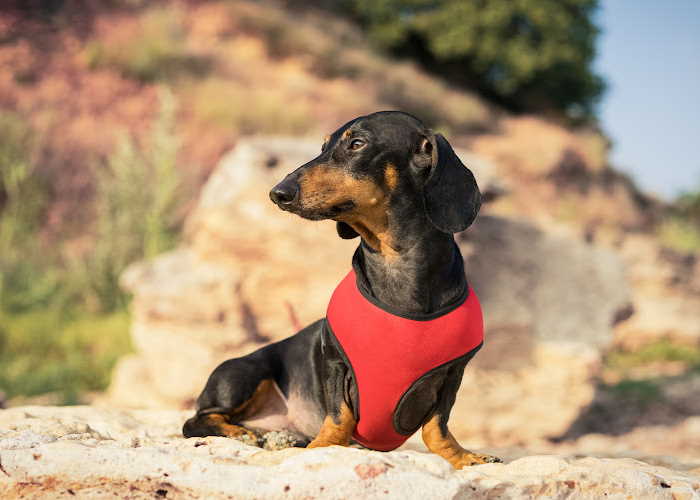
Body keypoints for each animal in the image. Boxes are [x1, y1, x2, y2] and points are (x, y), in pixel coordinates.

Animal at [180, 110, 498, 468]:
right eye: (323, 146)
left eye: (356, 143)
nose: (278, 193)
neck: (398, 265)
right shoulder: (335, 363)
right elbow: (339, 416)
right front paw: (323, 446)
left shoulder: (452, 373)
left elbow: (436, 428)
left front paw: (462, 457)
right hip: (244, 372)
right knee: (197, 419)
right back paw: (242, 433)